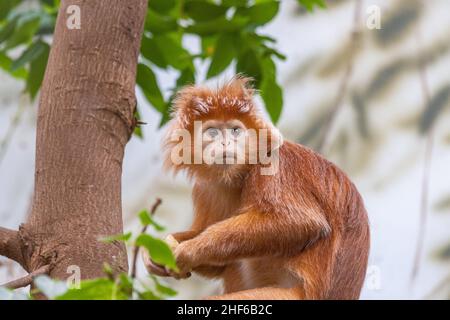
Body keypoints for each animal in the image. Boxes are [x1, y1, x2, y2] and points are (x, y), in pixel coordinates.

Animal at [143, 75, 370, 300]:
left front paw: (188, 251)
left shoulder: (274, 165)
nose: (225, 143)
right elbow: (218, 264)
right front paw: (156, 249)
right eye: (213, 132)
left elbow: (301, 222)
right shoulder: (205, 190)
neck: (240, 175)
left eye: (235, 131)